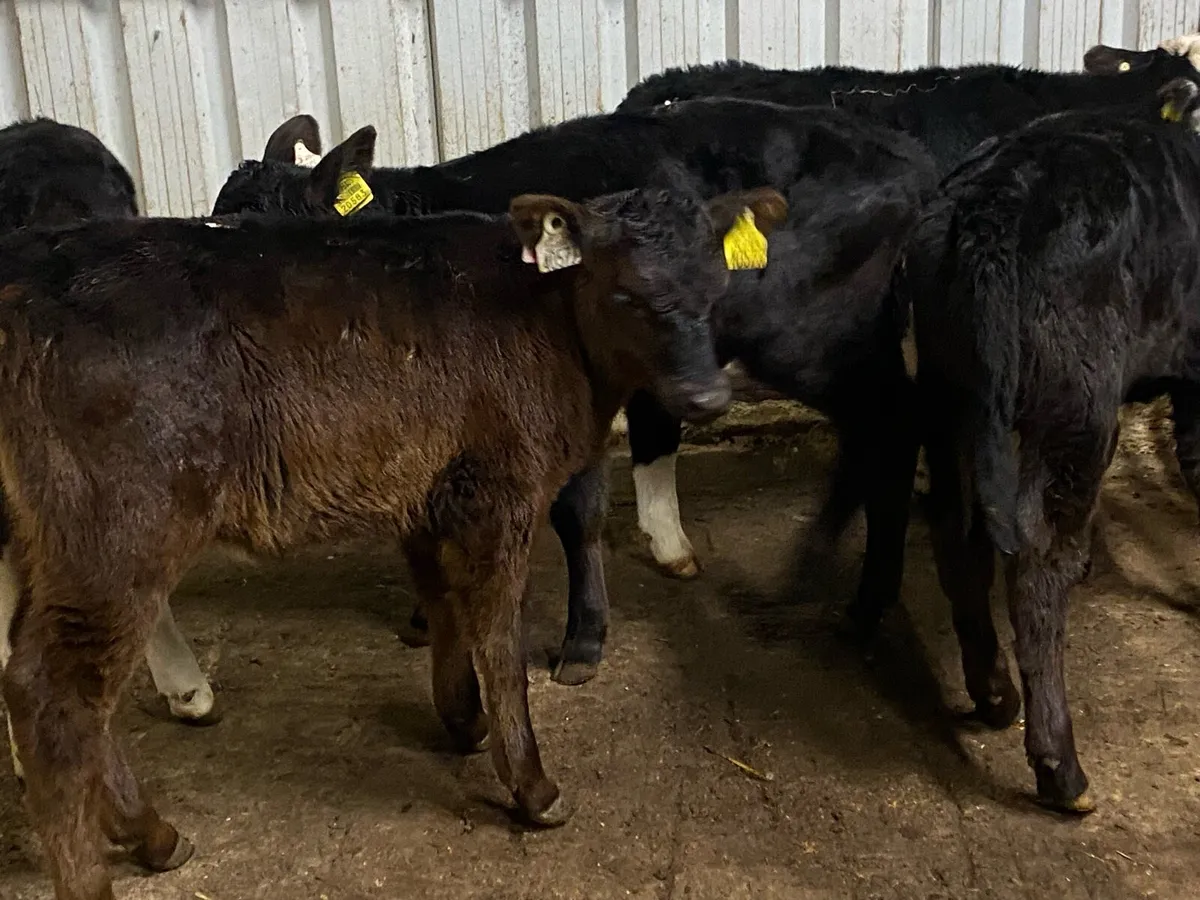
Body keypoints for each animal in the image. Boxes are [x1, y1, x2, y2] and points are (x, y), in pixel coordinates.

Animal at [0, 125, 786, 899]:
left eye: (717, 286)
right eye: (625, 293)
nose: (708, 396)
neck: (546, 315)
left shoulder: (426, 489)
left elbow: (442, 604)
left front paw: (462, 720)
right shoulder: (499, 489)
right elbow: (498, 638)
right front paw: (530, 783)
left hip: (48, 542)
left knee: (40, 678)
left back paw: (152, 834)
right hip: (118, 533)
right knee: (54, 698)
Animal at [206, 98, 938, 699]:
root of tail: (904, 159)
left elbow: (578, 511)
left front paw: (583, 640)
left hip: (811, 337)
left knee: (888, 426)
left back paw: (829, 593)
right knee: (884, 431)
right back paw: (846, 598)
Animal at [900, 76, 1200, 813]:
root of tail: (998, 194)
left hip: (950, 391)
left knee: (959, 527)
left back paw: (993, 692)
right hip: (1075, 406)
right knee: (1038, 557)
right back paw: (1061, 768)